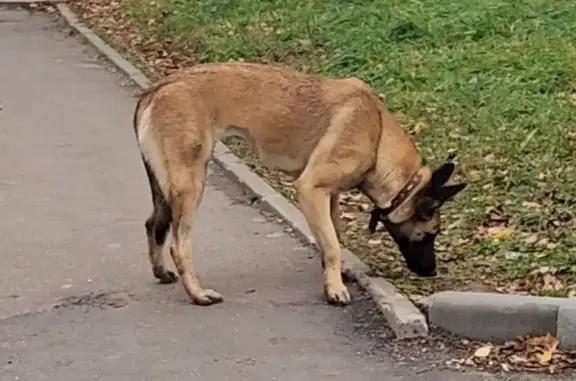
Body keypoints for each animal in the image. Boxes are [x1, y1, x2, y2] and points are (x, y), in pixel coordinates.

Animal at [132, 62, 468, 306]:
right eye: (429, 234)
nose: (432, 271)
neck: (377, 134)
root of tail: (159, 87)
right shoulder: (310, 189)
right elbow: (332, 244)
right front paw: (334, 289)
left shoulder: (328, 196)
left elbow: (333, 237)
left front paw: (333, 275)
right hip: (192, 185)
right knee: (178, 244)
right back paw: (198, 294)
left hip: (167, 188)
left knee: (153, 224)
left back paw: (161, 272)